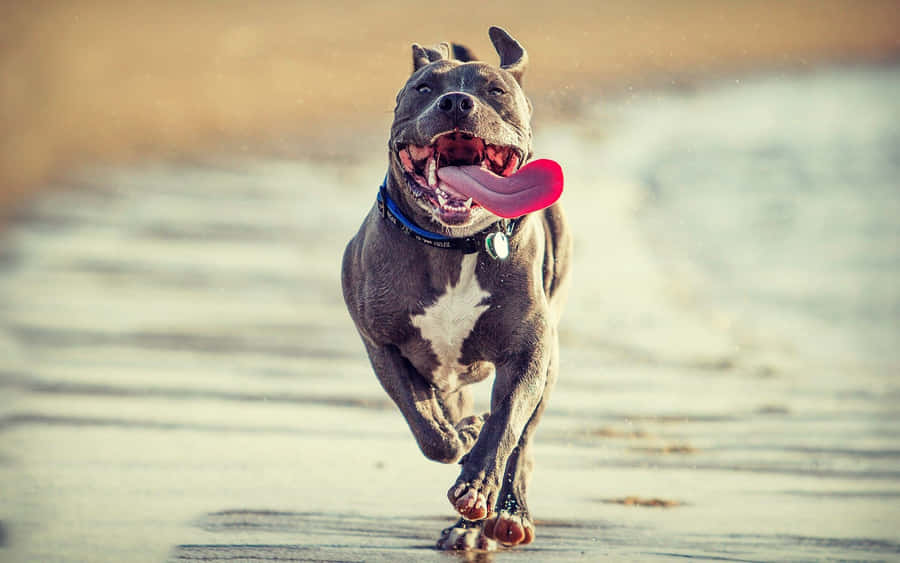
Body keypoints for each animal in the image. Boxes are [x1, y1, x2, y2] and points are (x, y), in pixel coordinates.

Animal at [342, 26, 572, 552]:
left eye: (496, 90)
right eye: (424, 87)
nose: (456, 102)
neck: (453, 245)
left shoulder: (529, 352)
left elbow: (506, 425)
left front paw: (477, 484)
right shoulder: (383, 345)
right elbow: (428, 426)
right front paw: (462, 437)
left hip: (550, 359)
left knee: (522, 442)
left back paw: (505, 515)